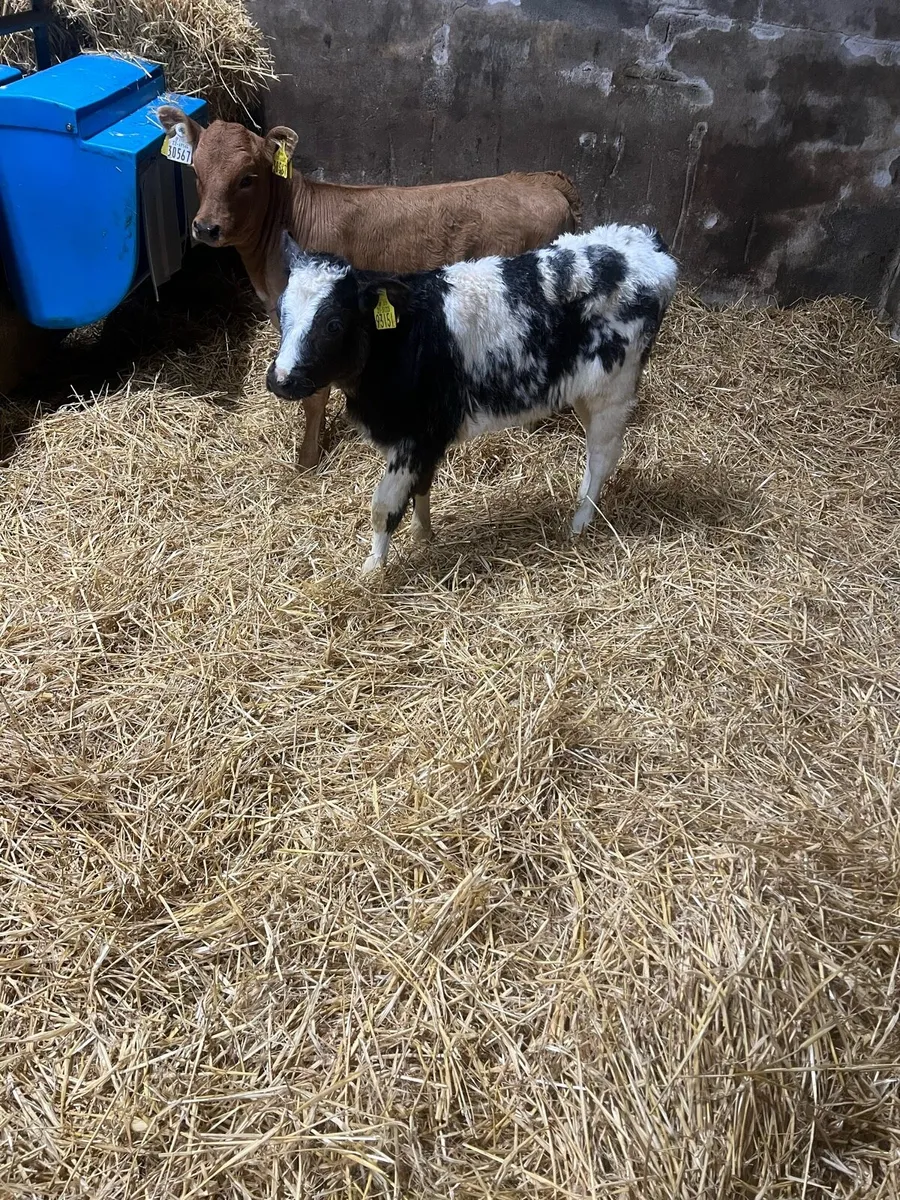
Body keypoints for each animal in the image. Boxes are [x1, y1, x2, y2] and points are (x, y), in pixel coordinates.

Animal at [156, 106, 582, 467]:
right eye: (196, 172)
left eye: (247, 178)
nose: (206, 227)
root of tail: (543, 181)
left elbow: (314, 398)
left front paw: (307, 458)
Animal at [265, 224, 678, 572]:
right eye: (280, 311)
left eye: (333, 324)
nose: (281, 379)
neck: (403, 338)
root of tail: (646, 244)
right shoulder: (424, 436)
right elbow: (422, 486)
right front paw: (423, 535)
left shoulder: (413, 436)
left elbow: (384, 506)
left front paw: (372, 570)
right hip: (586, 389)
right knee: (594, 453)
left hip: (615, 388)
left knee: (604, 455)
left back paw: (579, 524)